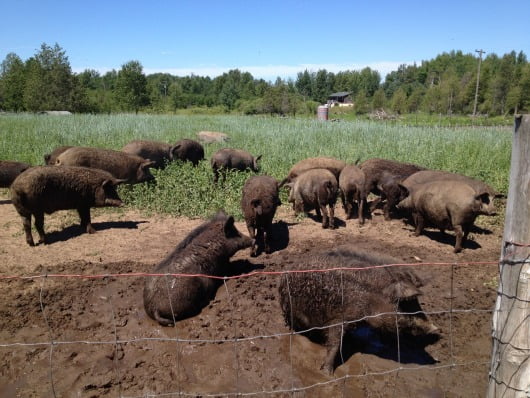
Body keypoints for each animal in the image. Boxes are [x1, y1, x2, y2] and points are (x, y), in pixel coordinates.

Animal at [276, 246, 438, 374]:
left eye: (415, 303)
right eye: (404, 303)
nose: (436, 329)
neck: (369, 298)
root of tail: (285, 273)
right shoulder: (339, 317)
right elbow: (334, 343)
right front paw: (327, 373)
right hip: (291, 310)